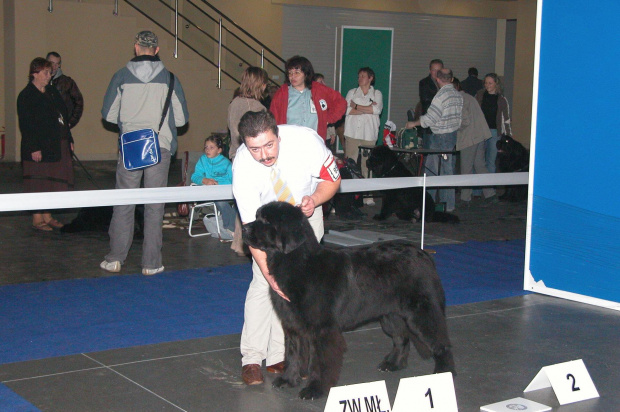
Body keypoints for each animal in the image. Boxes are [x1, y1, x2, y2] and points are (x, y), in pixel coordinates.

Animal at [243, 202, 456, 400]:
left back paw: (443, 373)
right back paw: (393, 364)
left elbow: (319, 362)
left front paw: (314, 389)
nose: (244, 228)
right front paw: (288, 380)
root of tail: (424, 255)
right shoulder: (292, 325)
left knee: (441, 343)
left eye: (266, 221)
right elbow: (292, 354)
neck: (299, 263)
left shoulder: (322, 329)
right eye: (257, 216)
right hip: (390, 314)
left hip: (421, 313)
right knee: (401, 338)